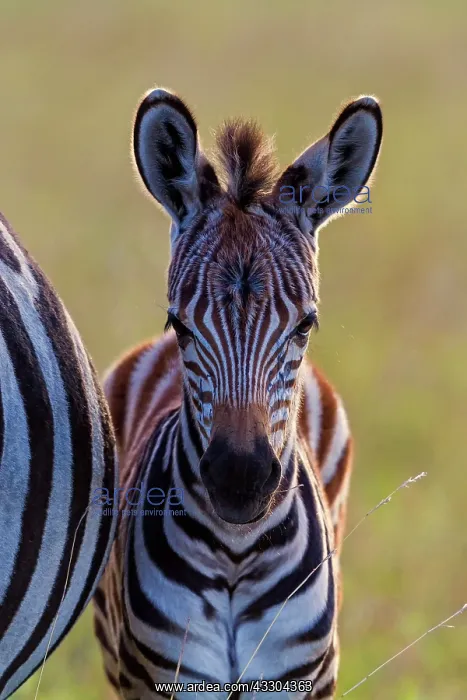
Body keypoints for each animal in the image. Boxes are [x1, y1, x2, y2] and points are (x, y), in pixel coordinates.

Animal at [94, 88, 383, 699]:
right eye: (179, 325)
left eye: (305, 326)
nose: (239, 480)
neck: (236, 553)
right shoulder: (167, 676)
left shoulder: (294, 678)